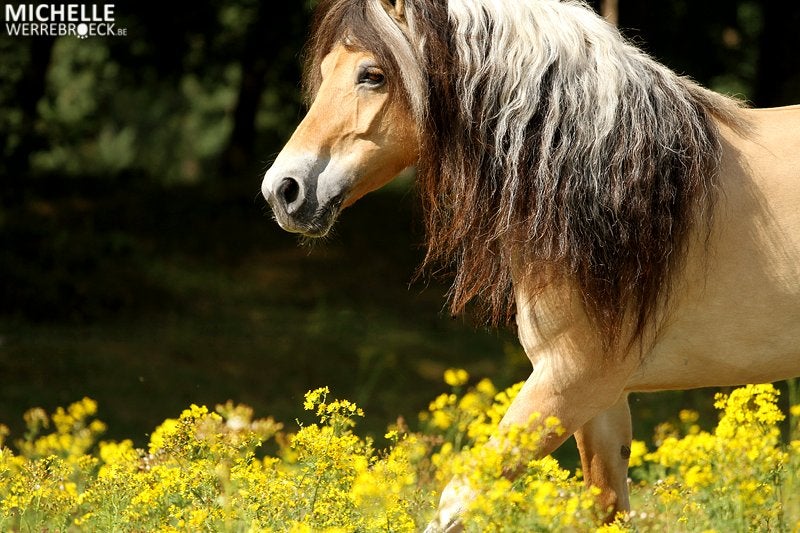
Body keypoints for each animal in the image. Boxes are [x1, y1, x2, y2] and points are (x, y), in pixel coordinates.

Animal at [261, 0, 800, 529]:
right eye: (325, 71)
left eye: (371, 74)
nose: (282, 190)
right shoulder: (600, 398)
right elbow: (606, 506)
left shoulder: (572, 379)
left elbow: (459, 500)